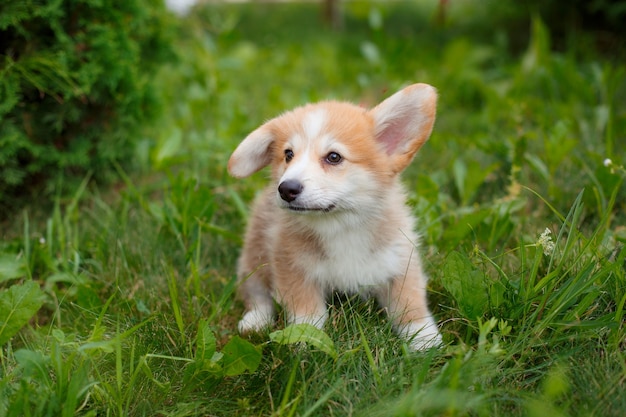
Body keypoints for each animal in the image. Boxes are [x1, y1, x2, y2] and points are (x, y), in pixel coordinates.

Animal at [228, 83, 438, 350]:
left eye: (334, 157)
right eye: (288, 154)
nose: (286, 189)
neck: (341, 224)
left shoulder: (400, 260)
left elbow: (410, 301)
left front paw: (425, 340)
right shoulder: (292, 267)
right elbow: (306, 310)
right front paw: (306, 339)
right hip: (253, 258)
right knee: (257, 294)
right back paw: (254, 322)